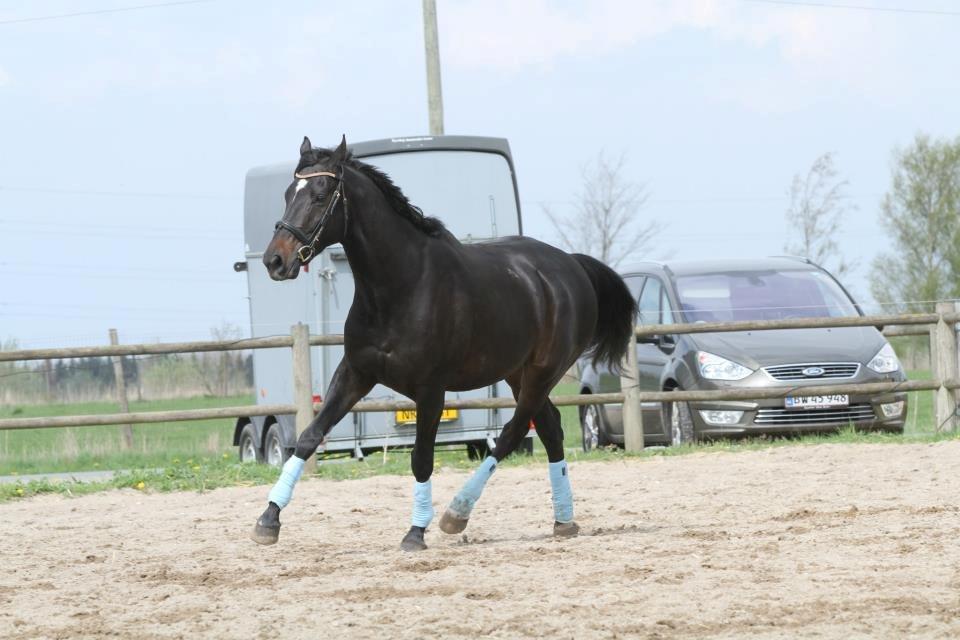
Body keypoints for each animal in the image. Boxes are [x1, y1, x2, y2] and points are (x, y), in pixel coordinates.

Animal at [253, 135, 636, 552]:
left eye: (320, 195)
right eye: (289, 193)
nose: (274, 260)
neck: (399, 286)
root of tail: (571, 264)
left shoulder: (431, 390)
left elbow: (422, 458)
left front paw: (415, 533)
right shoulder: (356, 373)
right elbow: (309, 437)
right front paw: (268, 519)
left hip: (543, 372)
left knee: (513, 432)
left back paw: (457, 514)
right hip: (517, 373)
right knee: (549, 428)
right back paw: (563, 520)